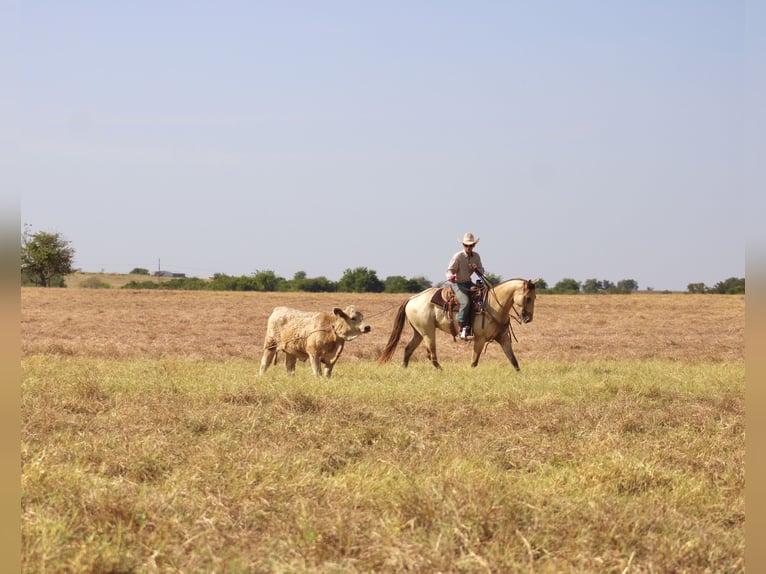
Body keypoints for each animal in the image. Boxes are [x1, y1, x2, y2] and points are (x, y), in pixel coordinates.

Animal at [377, 278, 538, 371]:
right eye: (528, 298)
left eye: (535, 297)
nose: (528, 318)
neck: (493, 304)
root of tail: (412, 298)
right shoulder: (479, 339)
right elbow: (474, 361)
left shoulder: (503, 339)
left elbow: (514, 361)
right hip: (428, 332)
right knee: (432, 355)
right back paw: (441, 370)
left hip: (419, 332)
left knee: (408, 349)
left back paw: (404, 369)